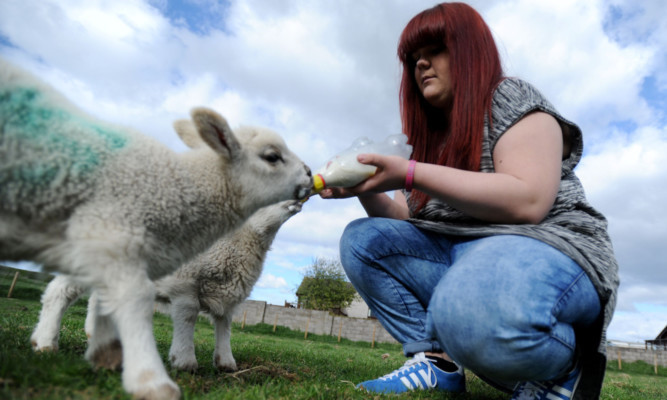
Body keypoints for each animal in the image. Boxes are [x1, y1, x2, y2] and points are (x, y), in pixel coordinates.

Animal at [0, 57, 314, 400]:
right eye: (272, 156)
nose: (310, 178)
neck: (236, 244)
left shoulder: (227, 294)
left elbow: (225, 323)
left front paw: (226, 362)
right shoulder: (184, 284)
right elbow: (188, 316)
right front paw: (184, 360)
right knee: (60, 291)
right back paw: (45, 342)